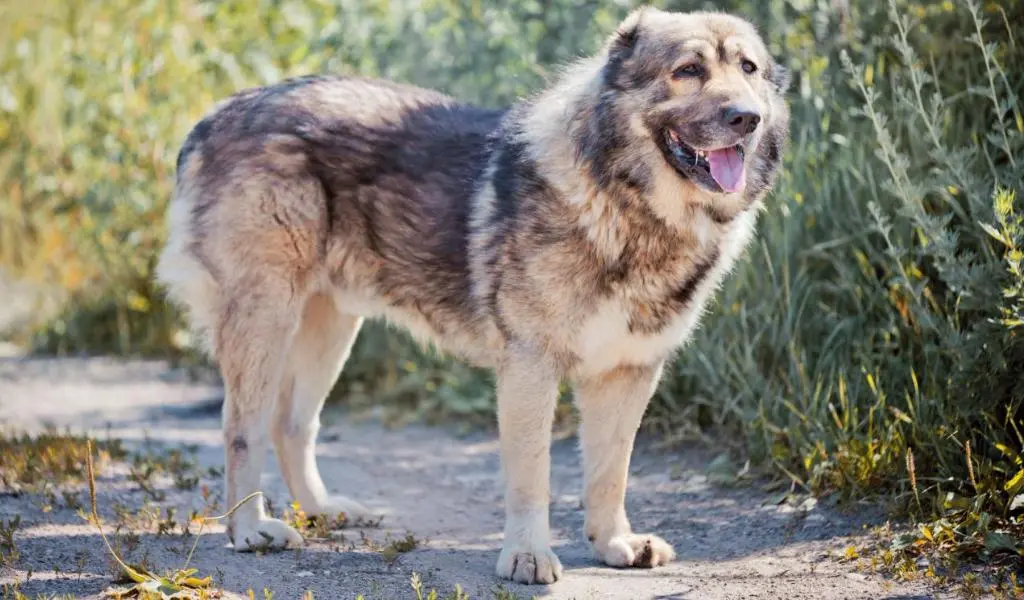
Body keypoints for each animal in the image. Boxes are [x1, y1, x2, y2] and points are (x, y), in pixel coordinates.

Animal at [155, 5, 786, 585]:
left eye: (748, 68)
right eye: (688, 70)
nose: (747, 118)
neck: (624, 202)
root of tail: (220, 113)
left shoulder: (628, 373)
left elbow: (610, 471)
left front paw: (614, 542)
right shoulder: (531, 369)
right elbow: (532, 476)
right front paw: (528, 555)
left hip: (329, 326)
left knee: (293, 424)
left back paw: (322, 510)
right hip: (266, 318)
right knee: (243, 426)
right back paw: (248, 528)